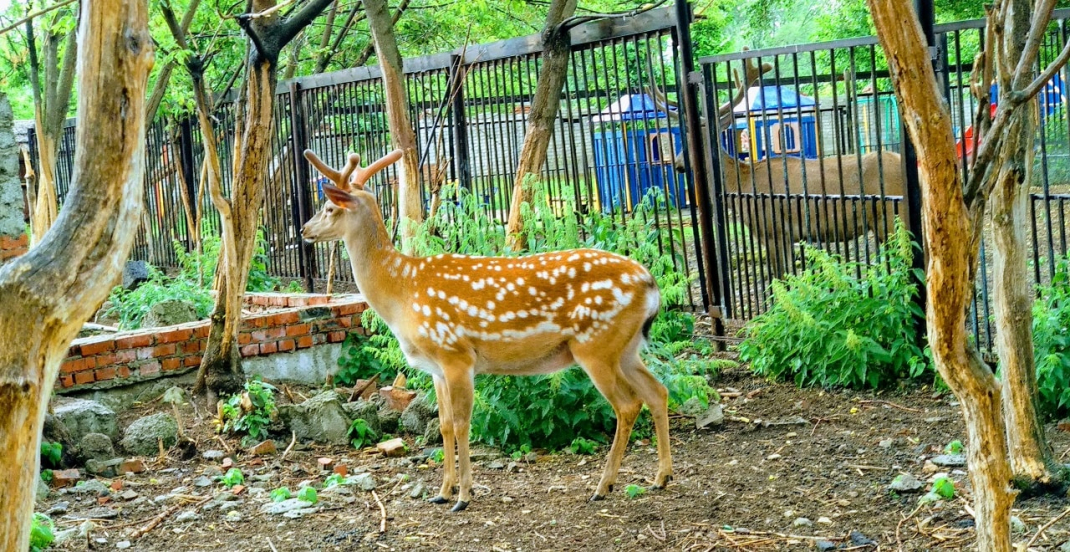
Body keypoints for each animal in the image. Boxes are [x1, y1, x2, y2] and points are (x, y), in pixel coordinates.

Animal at [299, 147, 667, 513]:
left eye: (329, 208)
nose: (304, 230)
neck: (402, 292)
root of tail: (651, 285)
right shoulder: (436, 368)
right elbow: (445, 425)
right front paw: (442, 491)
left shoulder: (456, 354)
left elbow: (463, 423)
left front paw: (463, 496)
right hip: (626, 348)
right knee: (657, 391)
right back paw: (661, 477)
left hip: (596, 344)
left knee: (627, 404)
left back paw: (604, 486)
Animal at [646, 54, 907, 278]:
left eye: (692, 137)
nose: (678, 164)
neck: (741, 184)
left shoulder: (772, 228)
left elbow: (780, 275)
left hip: (892, 217)